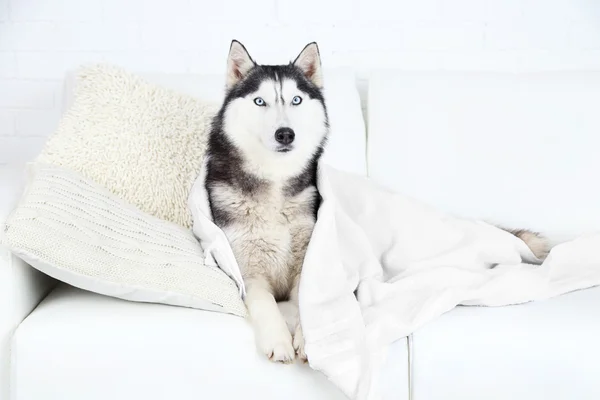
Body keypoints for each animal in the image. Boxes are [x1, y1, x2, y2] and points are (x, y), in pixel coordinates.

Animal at [206, 41, 328, 366]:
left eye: (296, 100)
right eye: (260, 101)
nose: (285, 133)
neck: (274, 176)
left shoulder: (306, 263)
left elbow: (306, 301)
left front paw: (306, 340)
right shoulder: (249, 273)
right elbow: (265, 303)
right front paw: (279, 340)